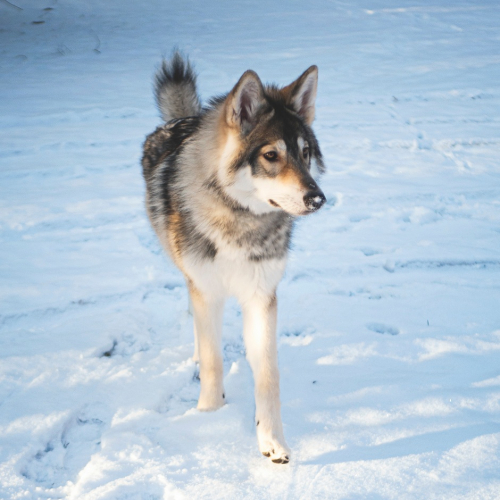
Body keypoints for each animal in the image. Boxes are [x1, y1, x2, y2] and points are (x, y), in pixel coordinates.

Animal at [143, 52, 326, 462]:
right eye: (271, 155)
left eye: (305, 154)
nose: (318, 198)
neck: (239, 223)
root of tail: (185, 119)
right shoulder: (206, 290)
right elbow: (213, 361)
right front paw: (209, 419)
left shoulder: (262, 297)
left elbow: (269, 375)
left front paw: (272, 441)